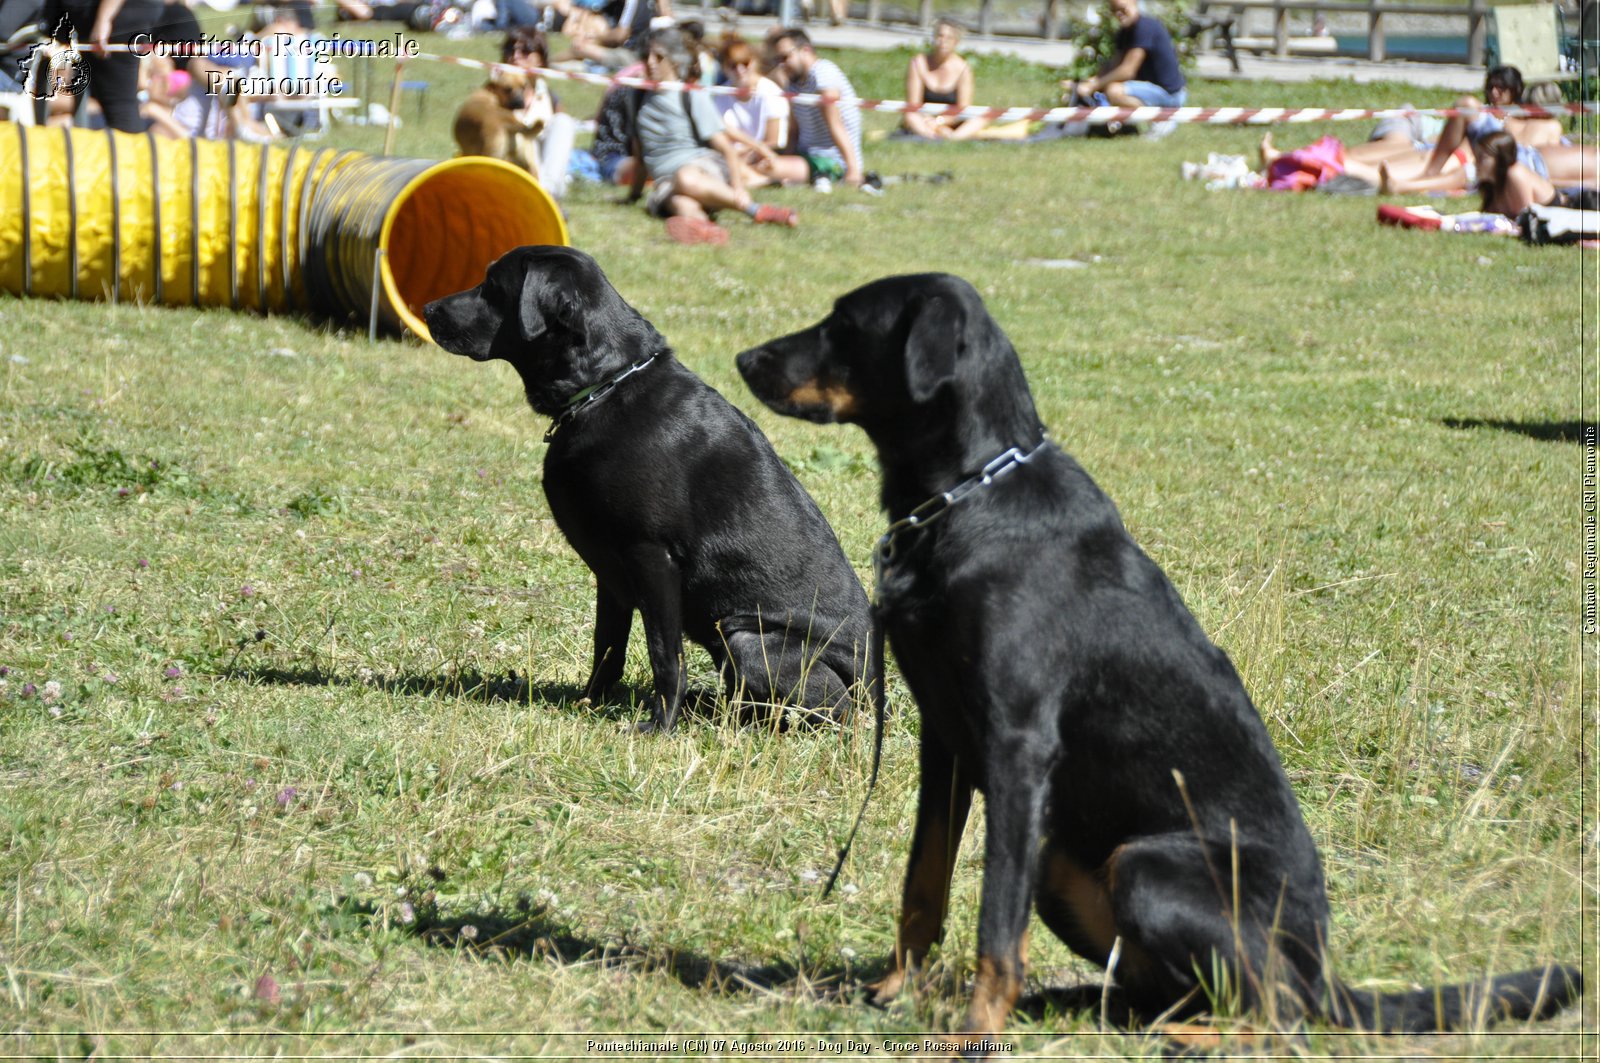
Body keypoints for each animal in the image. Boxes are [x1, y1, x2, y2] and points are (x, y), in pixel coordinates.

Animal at [425, 248, 876, 730]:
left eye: (492, 287)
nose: (427, 309)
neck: (604, 386)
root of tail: (875, 695)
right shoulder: (610, 571)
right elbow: (607, 646)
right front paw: (589, 704)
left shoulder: (652, 555)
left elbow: (664, 654)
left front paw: (660, 725)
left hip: (747, 638)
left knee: (824, 712)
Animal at [739, 272, 1587, 1043]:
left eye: (846, 324)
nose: (745, 357)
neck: (967, 494)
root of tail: (1326, 971)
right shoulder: (945, 742)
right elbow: (924, 884)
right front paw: (894, 989)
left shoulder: (1017, 747)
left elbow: (994, 923)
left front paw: (973, 1031)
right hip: (1068, 864)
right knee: (1161, 991)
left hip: (1145, 865)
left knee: (1281, 1017)